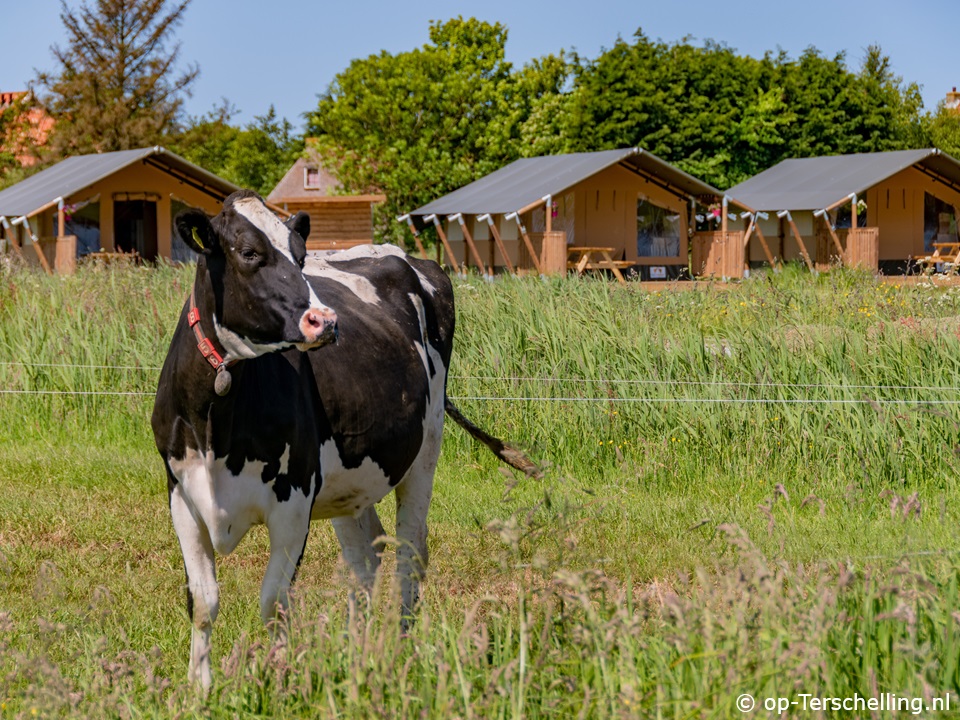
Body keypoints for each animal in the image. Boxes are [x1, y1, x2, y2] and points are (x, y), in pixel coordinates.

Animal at [154, 191, 536, 692]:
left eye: (299, 256)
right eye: (249, 252)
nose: (325, 321)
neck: (218, 423)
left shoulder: (293, 499)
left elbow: (274, 602)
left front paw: (278, 681)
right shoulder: (182, 493)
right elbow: (202, 602)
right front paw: (199, 688)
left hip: (425, 449)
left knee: (409, 552)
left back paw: (402, 649)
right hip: (347, 483)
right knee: (364, 559)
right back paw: (360, 653)